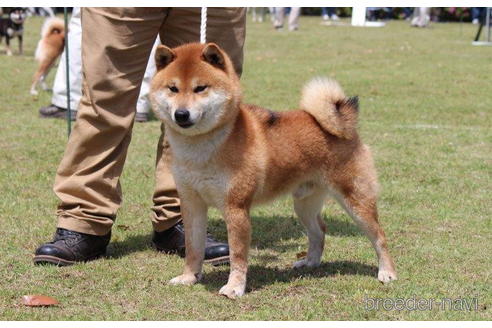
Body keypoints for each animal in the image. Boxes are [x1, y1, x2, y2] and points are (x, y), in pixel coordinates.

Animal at [149, 43, 396, 300]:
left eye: (200, 88)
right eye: (173, 88)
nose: (181, 114)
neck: (201, 149)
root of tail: (344, 125)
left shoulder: (236, 207)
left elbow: (238, 255)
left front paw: (234, 287)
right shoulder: (192, 203)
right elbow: (193, 249)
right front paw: (189, 277)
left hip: (355, 200)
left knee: (379, 236)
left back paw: (387, 273)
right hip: (304, 204)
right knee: (319, 231)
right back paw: (310, 262)